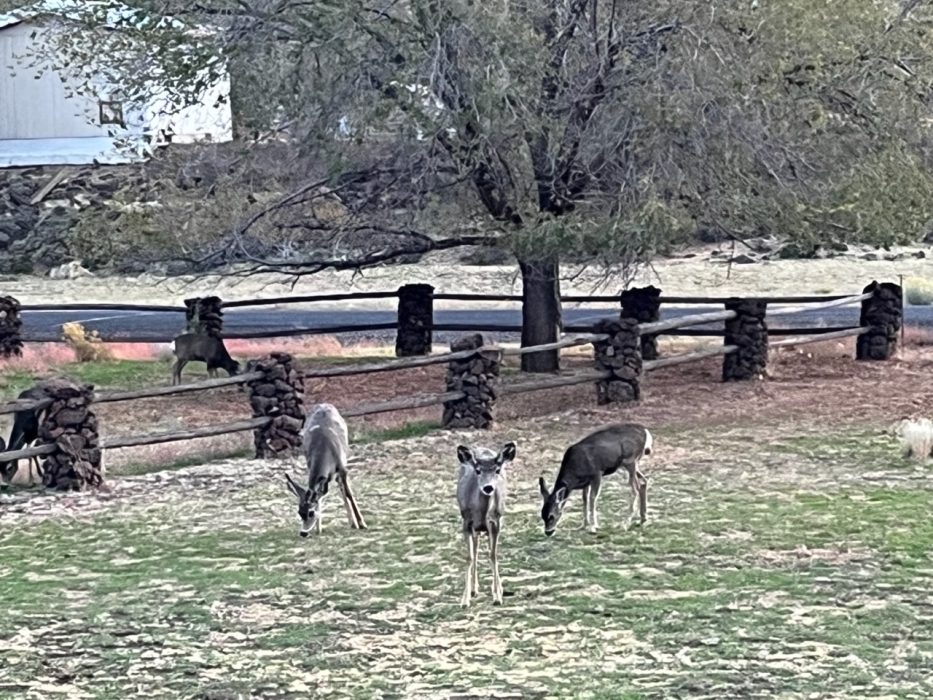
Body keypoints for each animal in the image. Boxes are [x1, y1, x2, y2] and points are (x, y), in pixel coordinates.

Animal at [284, 403, 366, 537]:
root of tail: (323, 404)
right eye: (299, 512)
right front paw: (318, 529)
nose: (303, 533)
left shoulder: (342, 468)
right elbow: (320, 496)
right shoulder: (310, 464)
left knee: (342, 487)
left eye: (311, 512)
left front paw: (361, 523)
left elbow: (348, 493)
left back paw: (354, 522)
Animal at [455, 440, 517, 608]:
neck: (481, 513)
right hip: (474, 527)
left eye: (497, 470)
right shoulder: (466, 522)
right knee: (475, 551)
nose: (488, 487)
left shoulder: (495, 522)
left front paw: (497, 596)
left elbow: (493, 555)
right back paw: (473, 589)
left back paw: (498, 589)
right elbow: (470, 557)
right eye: (477, 470)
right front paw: (464, 600)